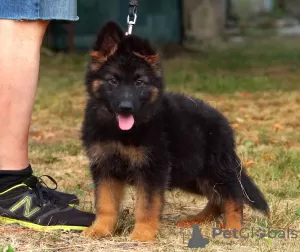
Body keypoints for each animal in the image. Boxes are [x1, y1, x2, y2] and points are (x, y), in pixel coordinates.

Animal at [80, 21, 270, 242]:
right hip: (191, 175)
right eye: (113, 81)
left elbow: (146, 206)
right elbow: (105, 203)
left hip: (212, 170)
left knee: (232, 196)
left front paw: (142, 234)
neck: (120, 132)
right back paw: (198, 219)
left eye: (139, 82)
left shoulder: (152, 170)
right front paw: (100, 229)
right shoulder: (104, 167)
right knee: (216, 198)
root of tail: (222, 121)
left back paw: (233, 227)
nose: (126, 108)